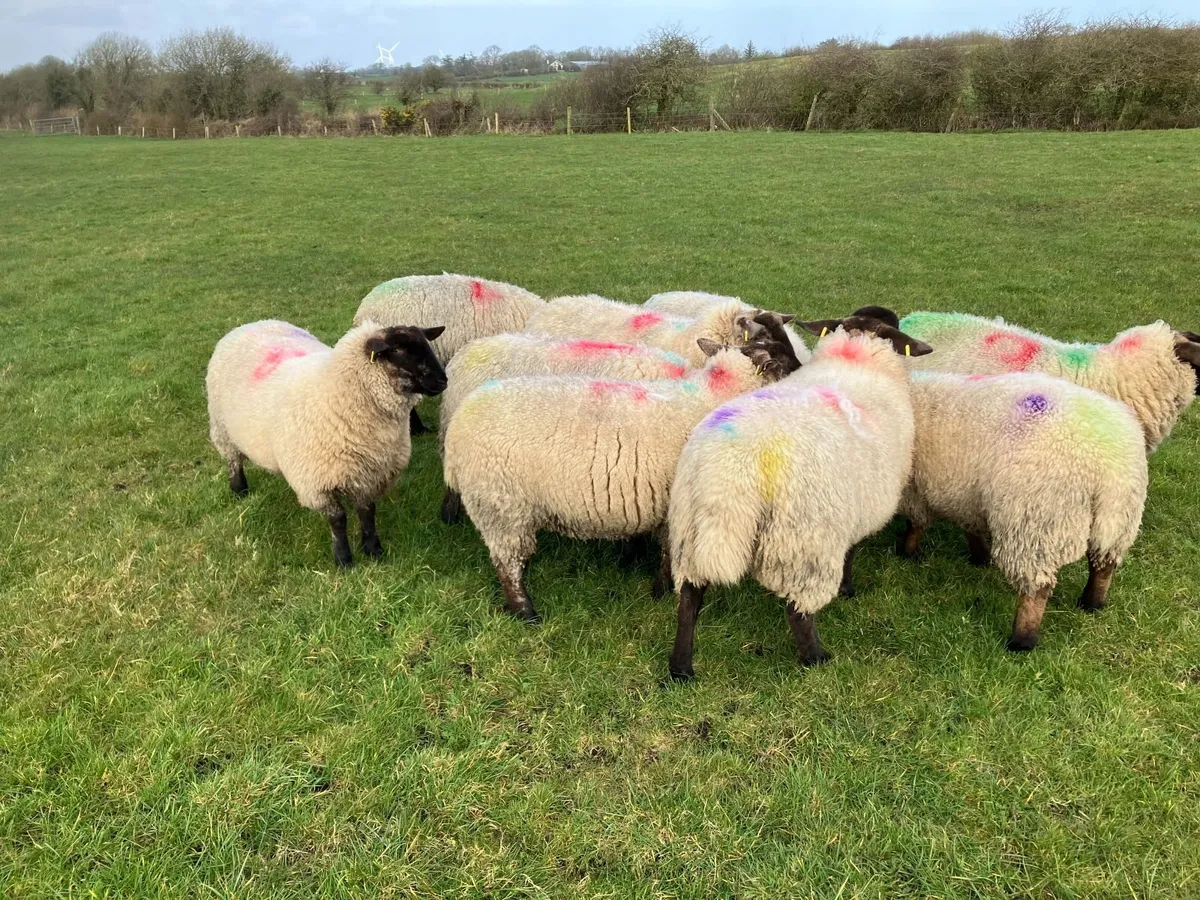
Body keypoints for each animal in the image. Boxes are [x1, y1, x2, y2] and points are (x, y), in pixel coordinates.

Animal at [206, 319, 447, 568]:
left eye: (425, 343)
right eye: (398, 350)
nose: (443, 380)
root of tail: (253, 323)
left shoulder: (368, 473)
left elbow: (368, 512)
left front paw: (372, 549)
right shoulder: (317, 482)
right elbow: (338, 519)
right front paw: (343, 558)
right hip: (222, 428)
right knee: (233, 461)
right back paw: (239, 489)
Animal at [666, 311, 932, 679]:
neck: (857, 359)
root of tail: (728, 471)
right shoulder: (852, 507)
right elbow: (850, 553)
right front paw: (847, 590)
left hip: (690, 533)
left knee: (689, 600)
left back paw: (680, 669)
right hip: (803, 543)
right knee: (797, 610)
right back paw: (816, 658)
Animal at [896, 371, 1148, 652]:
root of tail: (1108, 465)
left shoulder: (915, 489)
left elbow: (916, 524)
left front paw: (906, 553)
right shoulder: (966, 493)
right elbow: (970, 526)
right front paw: (979, 557)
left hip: (1035, 523)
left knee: (1037, 588)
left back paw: (1022, 640)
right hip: (1120, 521)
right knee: (1103, 566)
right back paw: (1091, 604)